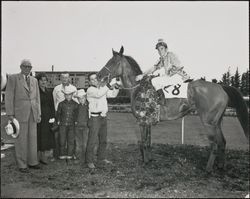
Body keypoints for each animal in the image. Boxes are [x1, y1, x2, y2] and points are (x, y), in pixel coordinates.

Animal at [96, 45, 249, 172]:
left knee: (215, 144)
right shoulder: (148, 122)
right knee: (223, 142)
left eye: (113, 62)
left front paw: (145, 162)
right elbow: (148, 142)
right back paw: (221, 166)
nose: (98, 75)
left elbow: (144, 142)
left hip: (208, 123)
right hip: (217, 123)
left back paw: (208, 169)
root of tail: (220, 87)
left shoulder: (142, 121)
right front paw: (149, 160)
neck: (138, 88)